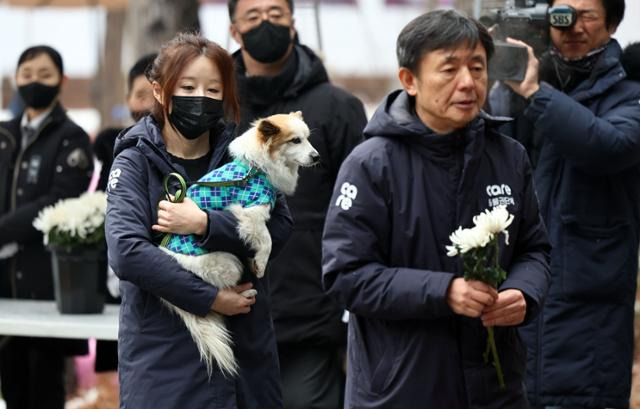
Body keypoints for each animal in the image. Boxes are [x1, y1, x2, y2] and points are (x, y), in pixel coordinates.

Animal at [160, 111, 320, 376]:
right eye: (295, 141)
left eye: (307, 138)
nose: (317, 156)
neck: (256, 168)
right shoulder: (251, 214)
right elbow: (266, 240)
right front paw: (261, 264)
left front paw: (254, 259)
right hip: (228, 265)